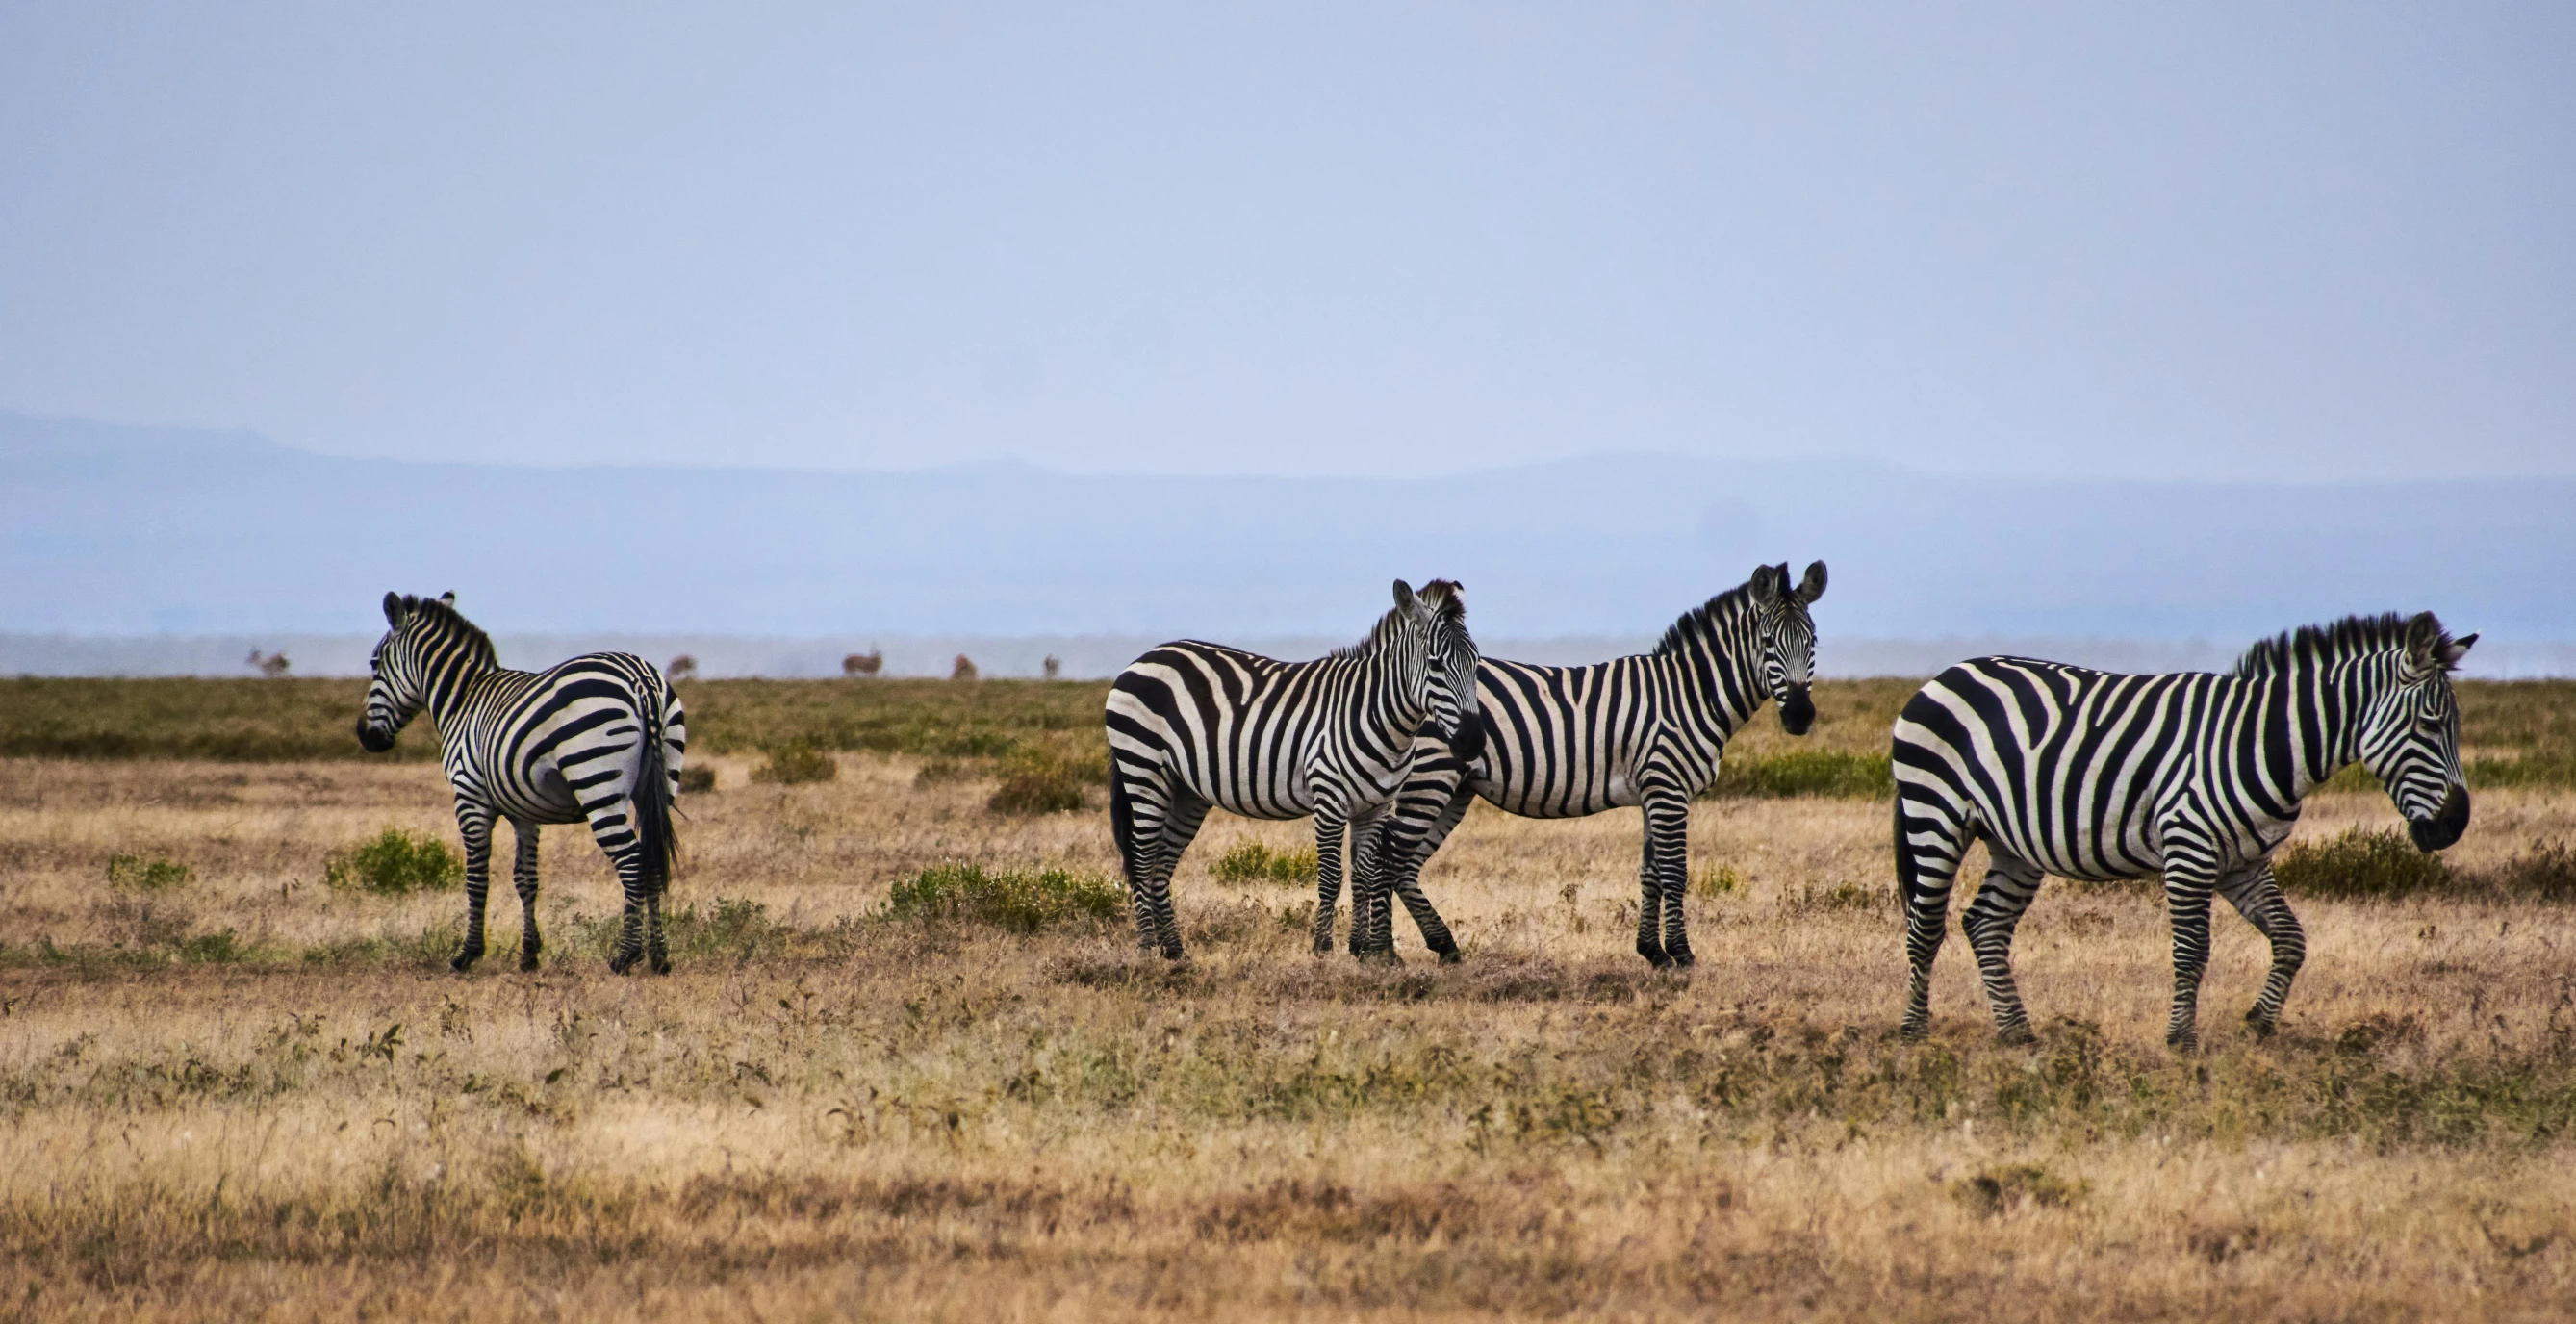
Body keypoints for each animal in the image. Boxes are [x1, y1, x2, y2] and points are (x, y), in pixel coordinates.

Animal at [358, 592, 695, 973]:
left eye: (374, 664)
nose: (366, 738)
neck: (462, 700)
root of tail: (642, 680)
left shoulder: (469, 796)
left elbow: (476, 877)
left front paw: (467, 953)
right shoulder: (524, 810)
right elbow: (526, 879)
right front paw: (529, 954)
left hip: (597, 782)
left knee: (633, 861)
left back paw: (626, 955)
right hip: (660, 785)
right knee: (651, 859)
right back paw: (659, 957)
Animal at [1108, 576, 1493, 957]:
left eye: (1477, 664)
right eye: (1436, 665)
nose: (1473, 742)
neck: (1376, 714)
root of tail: (1146, 657)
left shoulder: (1376, 805)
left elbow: (1364, 876)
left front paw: (1363, 951)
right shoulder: (1329, 798)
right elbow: (1331, 877)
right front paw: (1322, 948)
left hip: (1186, 791)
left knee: (1161, 865)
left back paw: (1174, 951)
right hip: (1145, 772)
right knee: (1142, 859)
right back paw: (1146, 949)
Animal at [1349, 556, 1834, 957]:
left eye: (1813, 640)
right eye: (1768, 642)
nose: (1799, 715)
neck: (1688, 696)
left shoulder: (1654, 793)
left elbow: (1651, 873)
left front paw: (1652, 952)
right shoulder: (1669, 788)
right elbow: (1675, 872)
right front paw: (1681, 953)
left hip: (1455, 789)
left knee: (1405, 864)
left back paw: (1442, 945)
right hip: (1430, 778)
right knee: (1386, 855)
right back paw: (1383, 952)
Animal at [1896, 602, 2472, 1045]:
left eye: (2454, 726)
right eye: (2430, 724)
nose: (2456, 825)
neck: (2263, 742)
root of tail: (1946, 674)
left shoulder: (2244, 861)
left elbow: (2291, 939)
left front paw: (2258, 1024)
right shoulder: (2189, 846)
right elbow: (2192, 950)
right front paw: (2182, 1040)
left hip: (2013, 842)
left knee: (1985, 924)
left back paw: (2017, 1032)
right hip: (1934, 814)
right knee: (1925, 927)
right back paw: (1914, 1034)